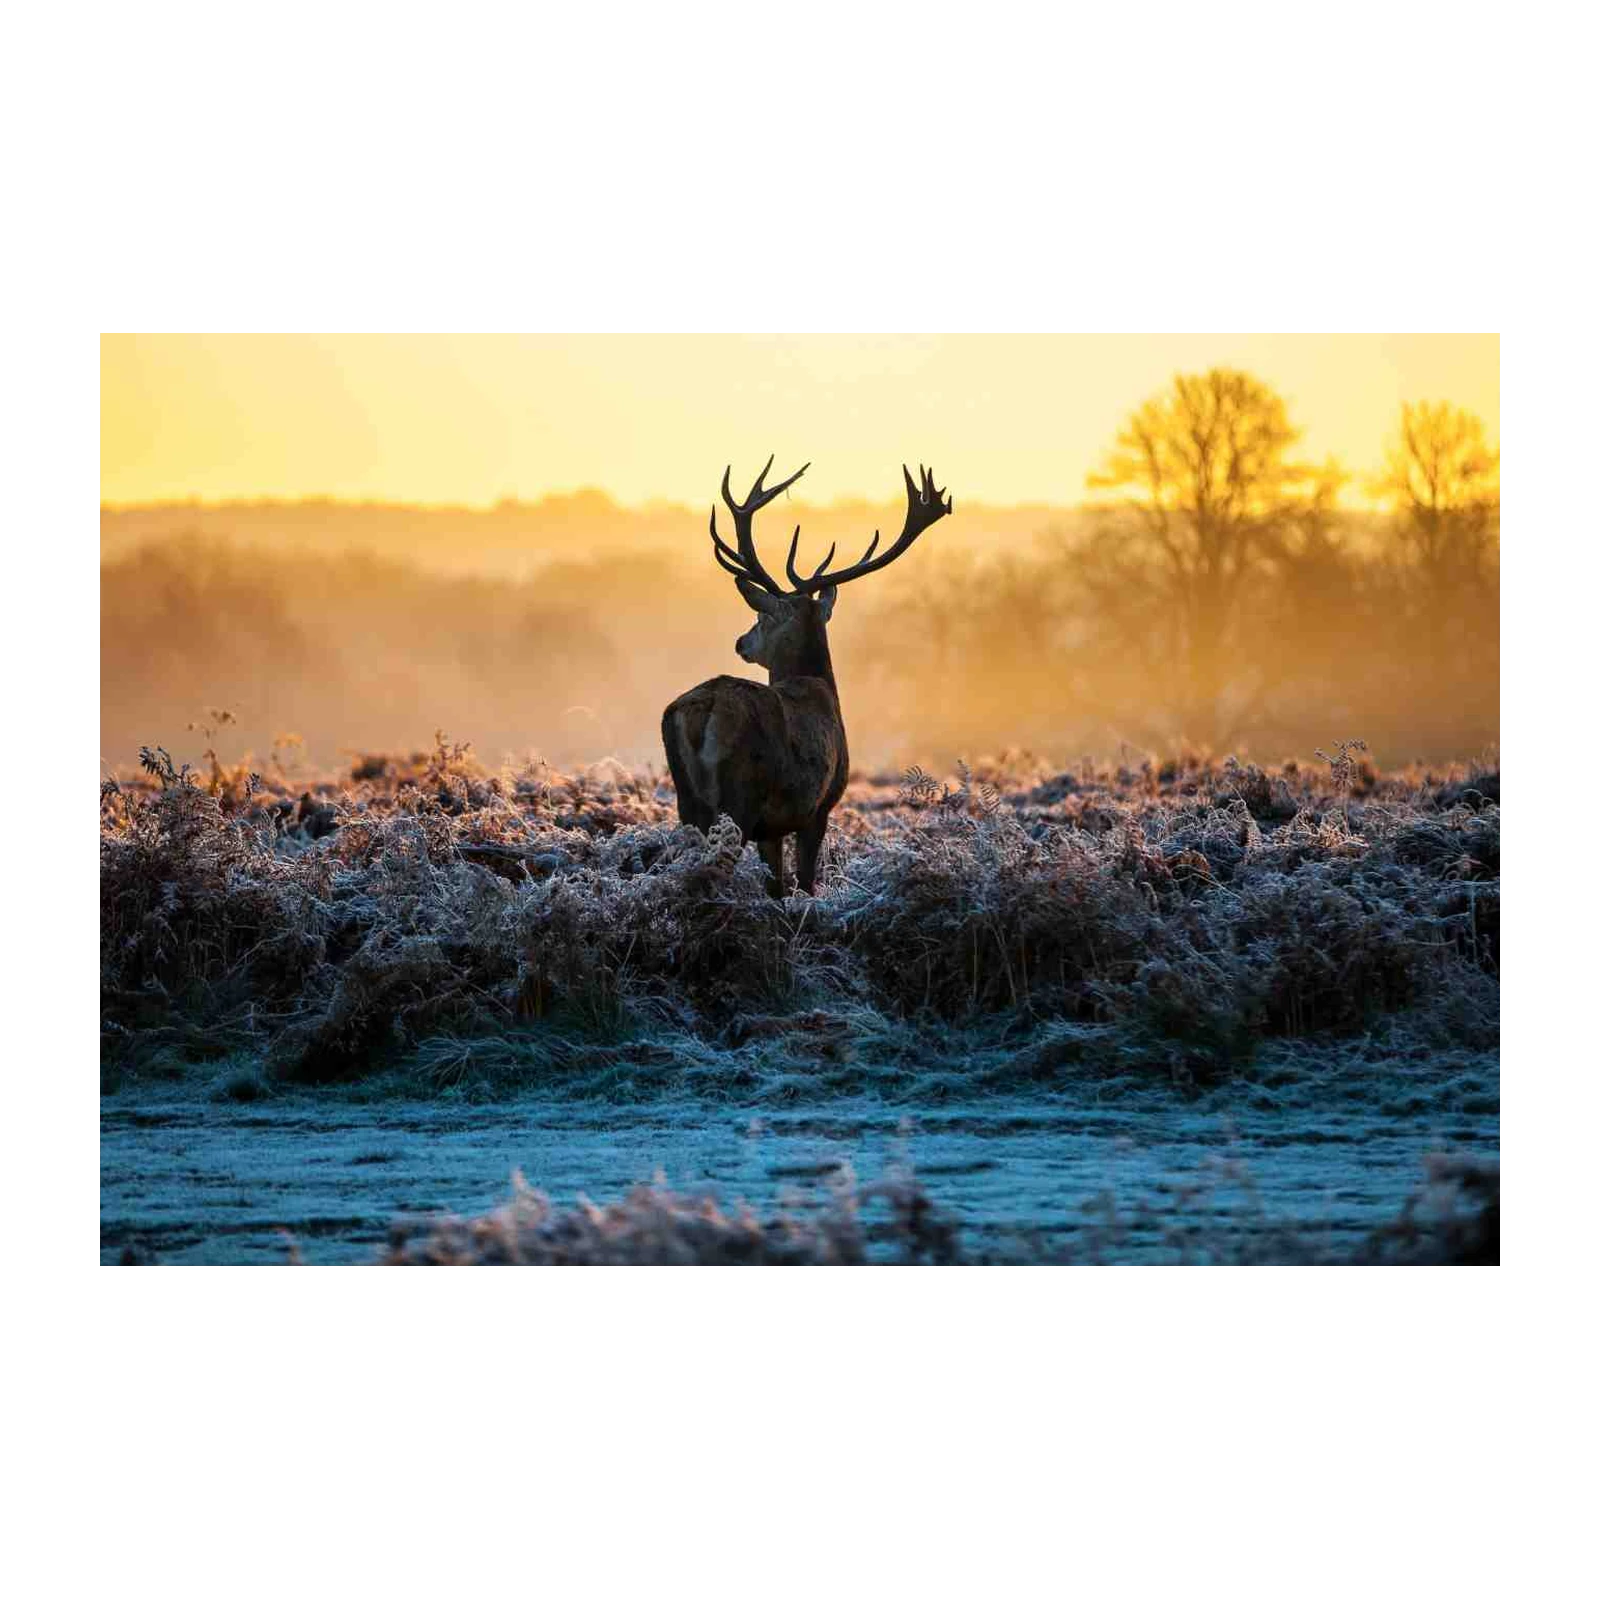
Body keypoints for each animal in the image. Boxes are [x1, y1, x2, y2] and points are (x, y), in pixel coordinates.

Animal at [662, 456, 953, 898]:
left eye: (762, 617)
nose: (741, 642)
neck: (820, 687)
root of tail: (703, 710)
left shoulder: (774, 827)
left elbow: (777, 887)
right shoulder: (819, 807)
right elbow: (804, 883)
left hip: (688, 802)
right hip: (739, 797)